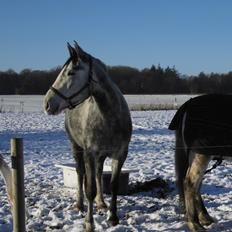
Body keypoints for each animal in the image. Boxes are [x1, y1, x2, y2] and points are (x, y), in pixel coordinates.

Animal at [42, 42, 131, 231]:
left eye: (70, 72)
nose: (47, 103)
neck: (110, 116)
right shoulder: (90, 153)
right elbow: (89, 188)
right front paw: (89, 222)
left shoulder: (120, 154)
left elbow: (113, 185)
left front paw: (113, 218)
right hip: (76, 148)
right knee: (81, 173)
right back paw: (80, 204)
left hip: (100, 155)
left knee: (98, 173)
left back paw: (101, 203)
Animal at [169, 94, 232, 230]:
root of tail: (188, 105)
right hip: (201, 155)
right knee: (190, 183)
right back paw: (194, 224)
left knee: (196, 186)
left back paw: (204, 217)